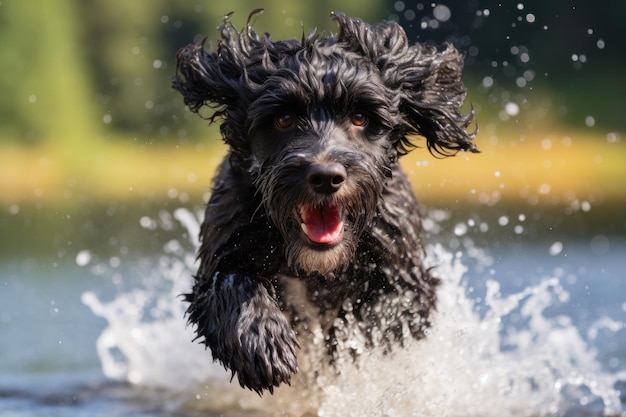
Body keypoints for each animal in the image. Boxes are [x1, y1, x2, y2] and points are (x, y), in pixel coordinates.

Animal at [171, 10, 472, 394]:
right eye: (283, 118)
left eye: (360, 117)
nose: (326, 176)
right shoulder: (224, 248)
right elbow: (230, 283)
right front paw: (263, 342)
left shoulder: (407, 278)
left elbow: (378, 316)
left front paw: (344, 350)